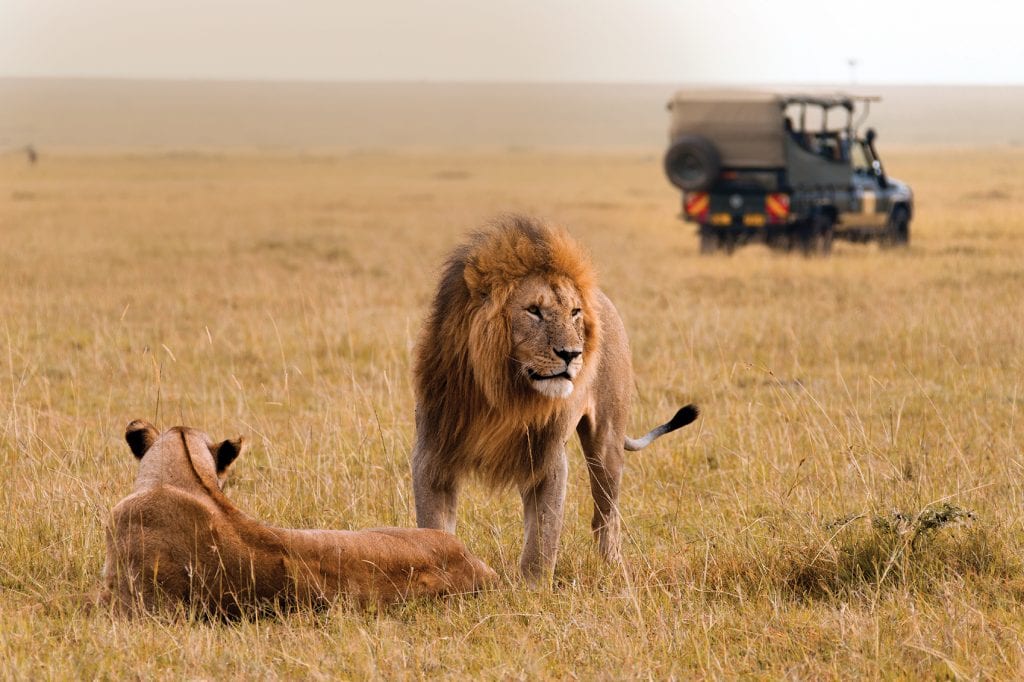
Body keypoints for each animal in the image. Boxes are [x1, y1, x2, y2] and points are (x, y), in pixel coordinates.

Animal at [411, 215, 700, 581]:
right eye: (533, 310)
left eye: (574, 312)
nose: (571, 354)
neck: (503, 394)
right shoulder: (433, 454)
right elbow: (433, 527)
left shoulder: (547, 458)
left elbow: (543, 536)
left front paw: (532, 589)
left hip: (606, 442)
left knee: (606, 515)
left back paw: (613, 567)